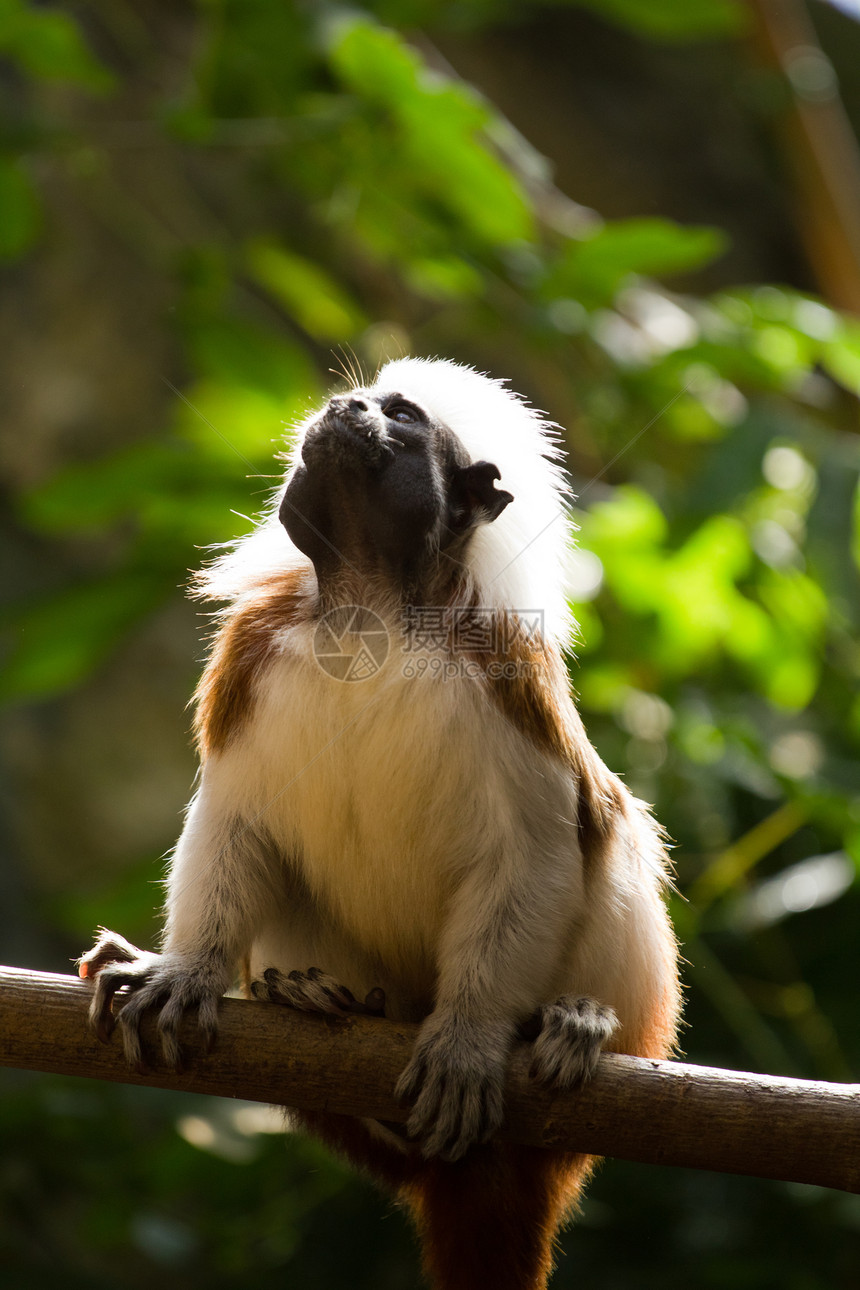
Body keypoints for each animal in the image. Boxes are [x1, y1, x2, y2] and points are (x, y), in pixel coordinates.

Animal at [80, 358, 680, 1290]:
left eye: (399, 414)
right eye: (356, 400)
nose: (343, 408)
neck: (370, 617)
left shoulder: (506, 677)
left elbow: (537, 851)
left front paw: (470, 1034)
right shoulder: (251, 659)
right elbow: (233, 821)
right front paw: (187, 970)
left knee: (611, 827)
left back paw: (580, 1024)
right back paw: (307, 992)